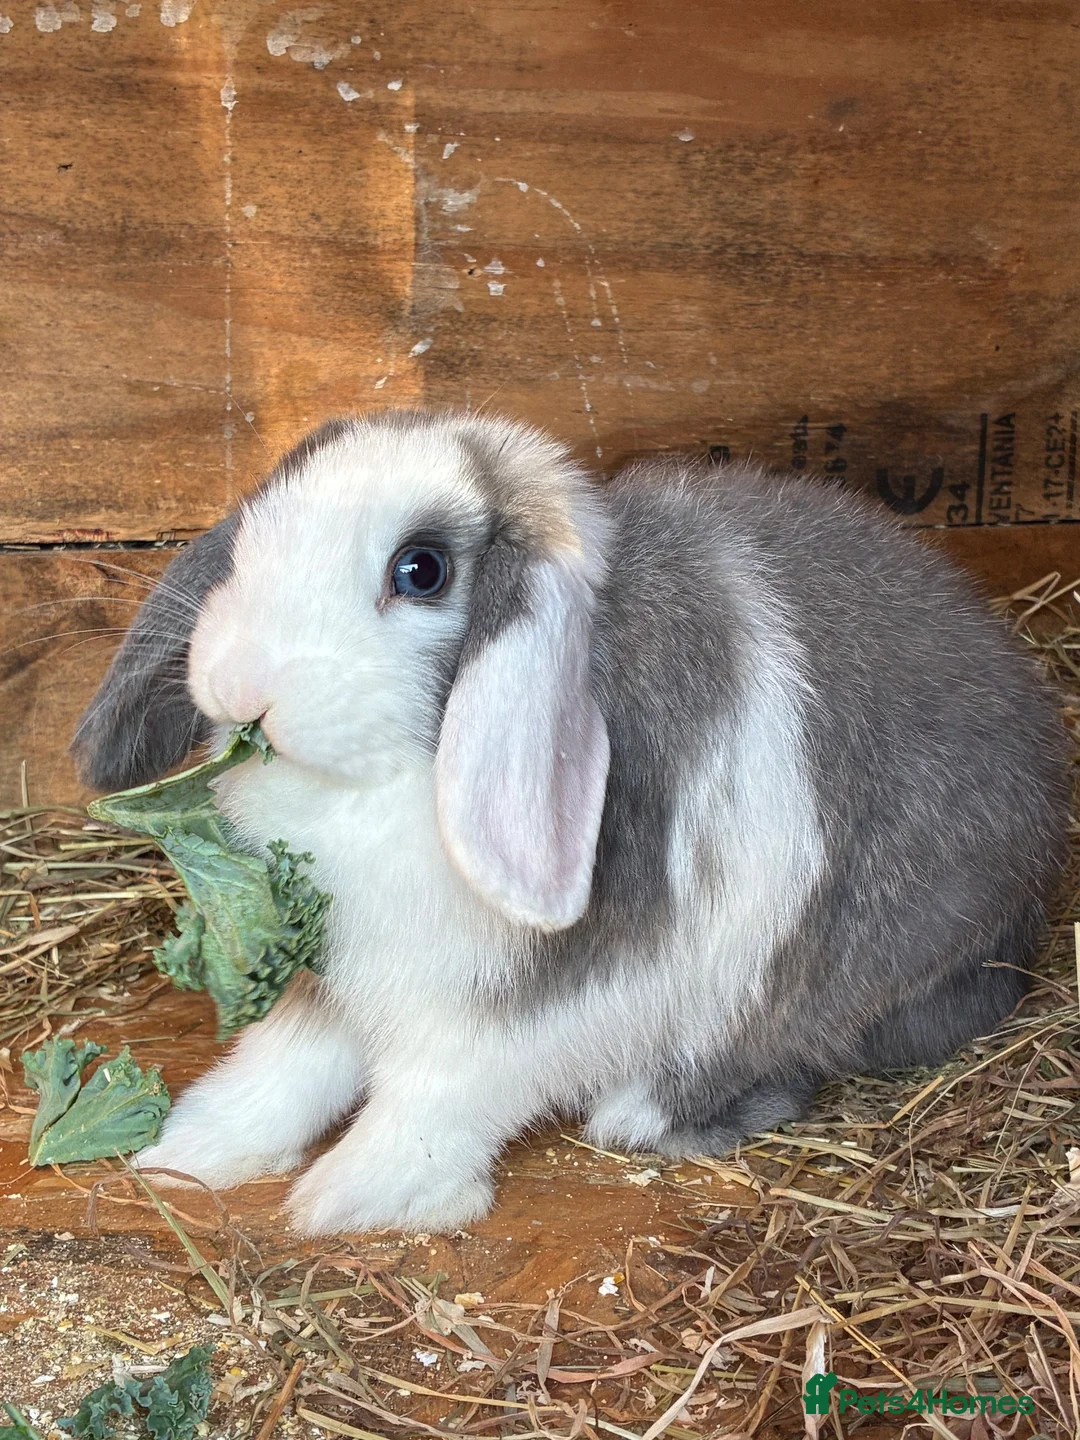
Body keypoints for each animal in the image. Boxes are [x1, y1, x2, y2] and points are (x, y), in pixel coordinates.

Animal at [72, 409, 1070, 1235]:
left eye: (420, 570)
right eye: (257, 527)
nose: (240, 682)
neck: (378, 784)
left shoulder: (522, 1007)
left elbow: (432, 1097)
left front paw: (354, 1196)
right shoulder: (333, 973)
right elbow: (287, 1066)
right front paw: (193, 1150)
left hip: (835, 977)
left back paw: (641, 1110)